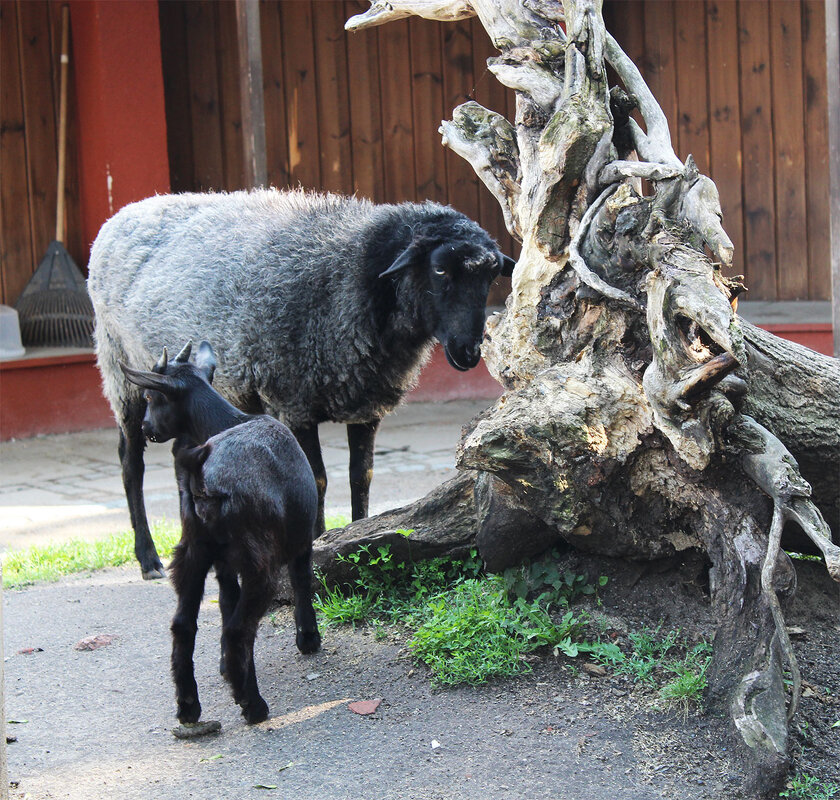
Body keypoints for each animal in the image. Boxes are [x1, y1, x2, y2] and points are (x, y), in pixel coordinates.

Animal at [90, 191, 512, 580]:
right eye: (439, 270)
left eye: (490, 275)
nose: (469, 352)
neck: (351, 276)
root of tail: (123, 213)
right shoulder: (292, 403)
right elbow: (318, 479)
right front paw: (315, 545)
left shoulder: (365, 405)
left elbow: (361, 477)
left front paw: (357, 534)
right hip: (122, 371)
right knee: (130, 463)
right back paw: (148, 559)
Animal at [121, 340, 322, 728]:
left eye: (152, 397)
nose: (145, 425)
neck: (230, 420)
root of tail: (203, 471)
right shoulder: (301, 540)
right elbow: (302, 580)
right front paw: (309, 639)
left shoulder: (224, 566)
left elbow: (227, 604)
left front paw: (228, 670)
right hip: (259, 561)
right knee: (239, 629)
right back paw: (253, 705)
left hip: (192, 551)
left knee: (184, 625)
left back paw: (189, 706)